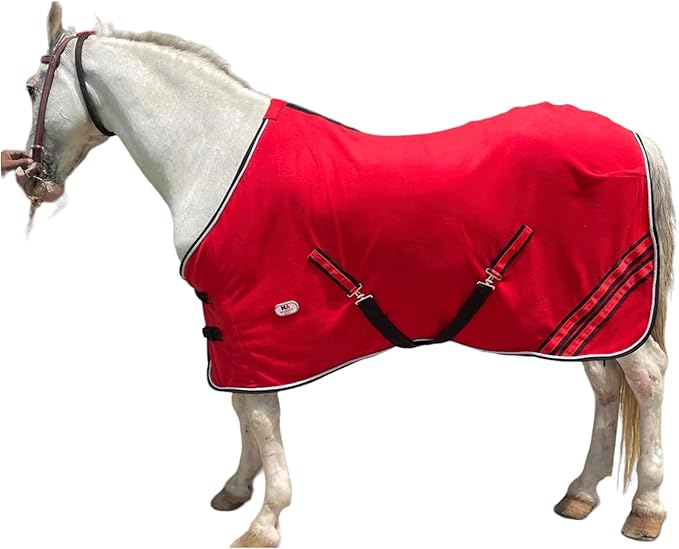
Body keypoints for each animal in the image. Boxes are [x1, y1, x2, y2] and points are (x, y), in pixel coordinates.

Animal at [11, 3, 673, 547]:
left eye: (29, 87)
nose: (33, 180)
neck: (216, 153)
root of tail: (634, 136)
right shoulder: (230, 325)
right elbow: (242, 406)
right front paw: (237, 489)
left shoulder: (260, 316)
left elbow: (261, 415)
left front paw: (265, 520)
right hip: (584, 319)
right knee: (605, 387)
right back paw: (581, 494)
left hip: (611, 314)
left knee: (645, 379)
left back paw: (644, 510)